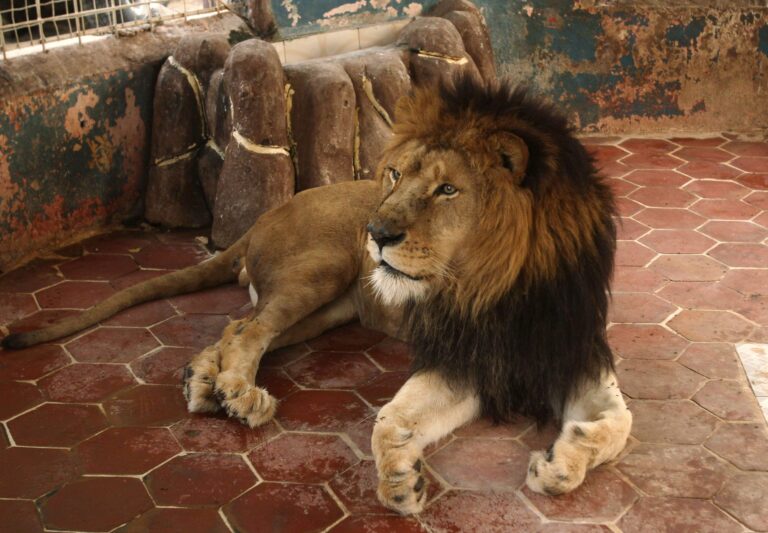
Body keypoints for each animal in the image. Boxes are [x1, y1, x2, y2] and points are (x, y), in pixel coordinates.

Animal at [2, 73, 631, 515]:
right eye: (395, 175)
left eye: (449, 190)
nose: (377, 234)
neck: (499, 286)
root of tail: (261, 217)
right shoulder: (459, 357)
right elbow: (392, 418)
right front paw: (399, 476)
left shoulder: (576, 356)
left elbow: (614, 425)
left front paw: (560, 465)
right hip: (320, 271)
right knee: (249, 330)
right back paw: (240, 395)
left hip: (328, 310)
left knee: (236, 329)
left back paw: (204, 384)